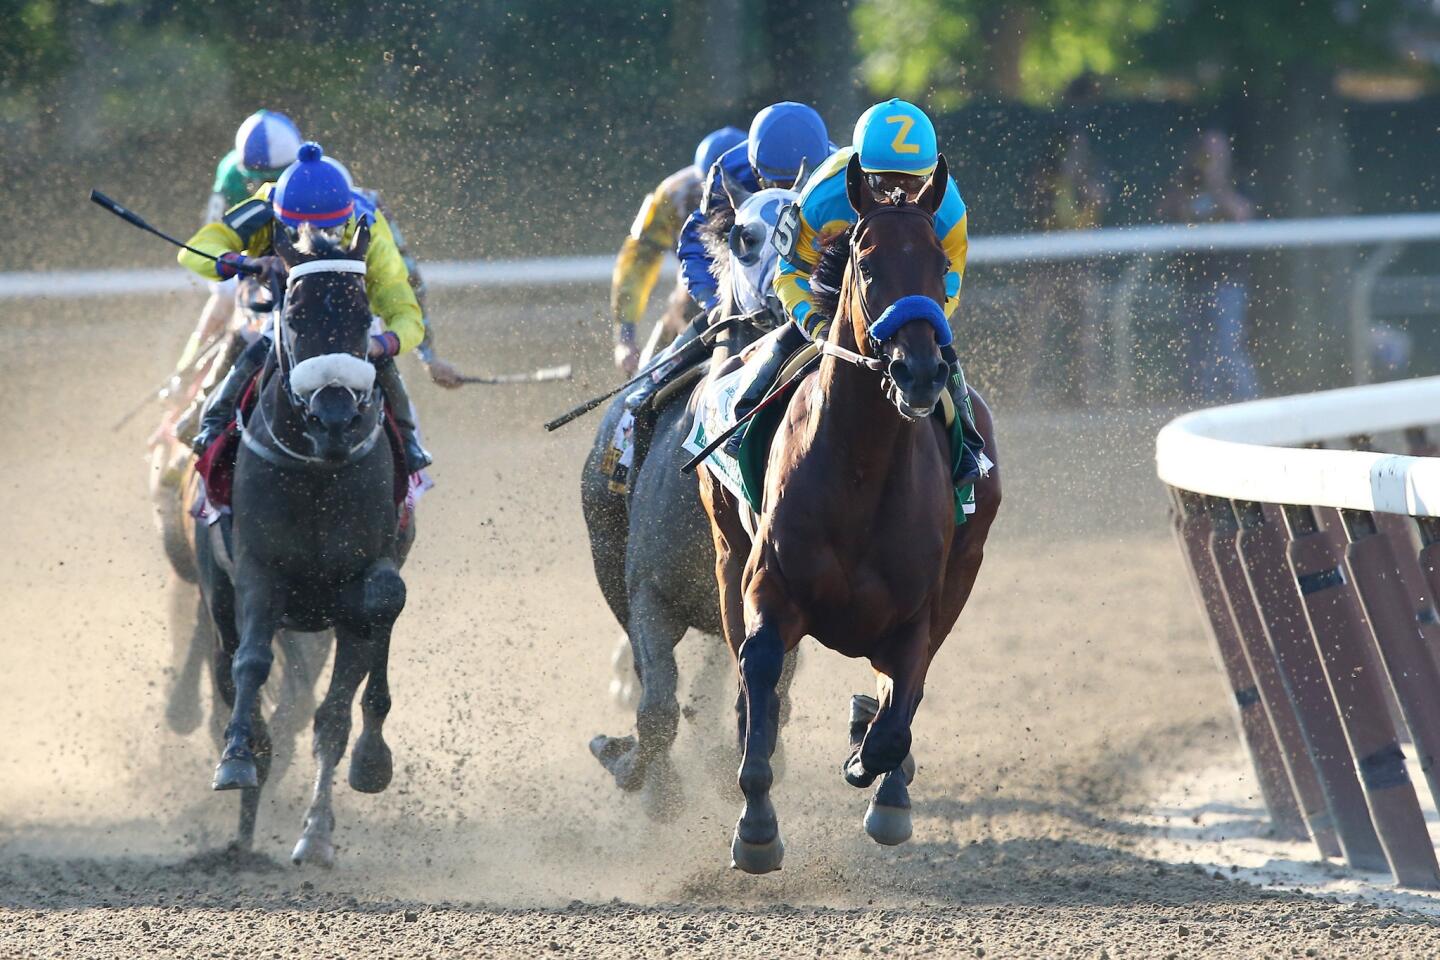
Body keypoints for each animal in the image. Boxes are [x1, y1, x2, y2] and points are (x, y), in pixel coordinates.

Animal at [195, 221, 417, 869]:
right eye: (293, 313)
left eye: (363, 312)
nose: (335, 416)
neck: (320, 470)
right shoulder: (257, 570)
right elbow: (251, 662)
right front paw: (237, 758)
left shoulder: (366, 576)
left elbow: (341, 707)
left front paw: (328, 817)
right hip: (216, 594)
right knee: (231, 669)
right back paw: (244, 826)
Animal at [696, 154, 1002, 875]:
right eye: (866, 262)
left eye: (938, 264)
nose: (918, 371)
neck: (862, 468)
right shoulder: (769, 588)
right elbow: (760, 678)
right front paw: (757, 828)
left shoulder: (919, 613)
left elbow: (896, 721)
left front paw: (869, 762)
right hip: (724, 553)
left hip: (965, 570)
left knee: (902, 699)